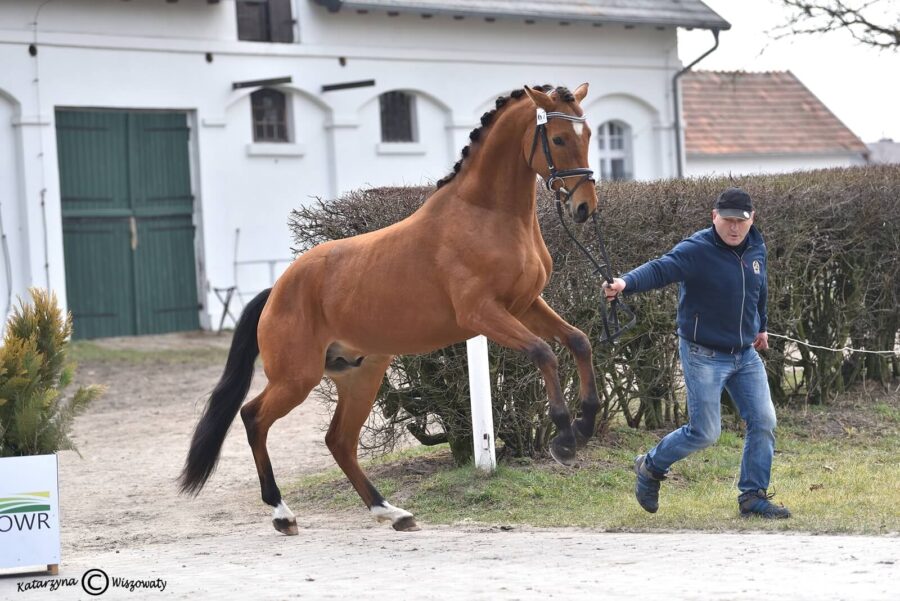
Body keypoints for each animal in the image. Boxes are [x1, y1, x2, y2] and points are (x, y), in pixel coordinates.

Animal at [178, 82, 600, 532]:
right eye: (559, 138)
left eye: (589, 135)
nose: (584, 207)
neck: (486, 214)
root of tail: (277, 289)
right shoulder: (484, 314)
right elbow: (544, 352)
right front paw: (565, 439)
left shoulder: (525, 305)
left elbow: (579, 341)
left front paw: (586, 421)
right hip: (297, 378)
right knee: (253, 417)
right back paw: (282, 513)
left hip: (361, 375)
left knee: (338, 440)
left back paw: (390, 510)